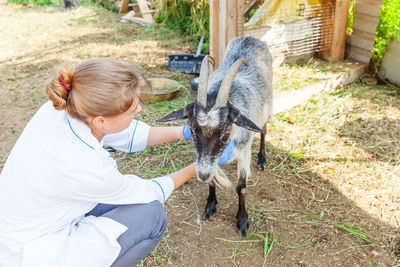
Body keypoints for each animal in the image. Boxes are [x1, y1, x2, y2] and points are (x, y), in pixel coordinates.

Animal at [158, 36, 274, 237]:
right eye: (191, 127)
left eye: (226, 131)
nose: (202, 175)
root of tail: (250, 38)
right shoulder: (208, 160)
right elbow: (212, 180)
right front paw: (210, 206)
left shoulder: (244, 150)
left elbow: (241, 187)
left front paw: (242, 221)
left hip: (267, 108)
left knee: (264, 130)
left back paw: (262, 159)